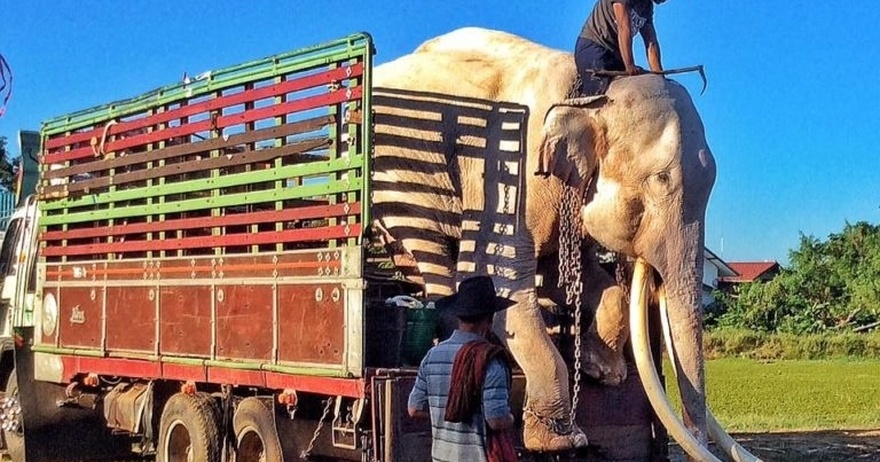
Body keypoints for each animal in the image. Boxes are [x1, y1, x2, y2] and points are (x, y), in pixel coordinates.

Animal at [368, 28, 720, 454]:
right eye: (662, 179)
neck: (589, 98)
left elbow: (567, 276)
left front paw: (605, 373)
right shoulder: (509, 170)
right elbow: (501, 275)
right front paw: (559, 440)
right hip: (400, 177)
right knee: (429, 246)